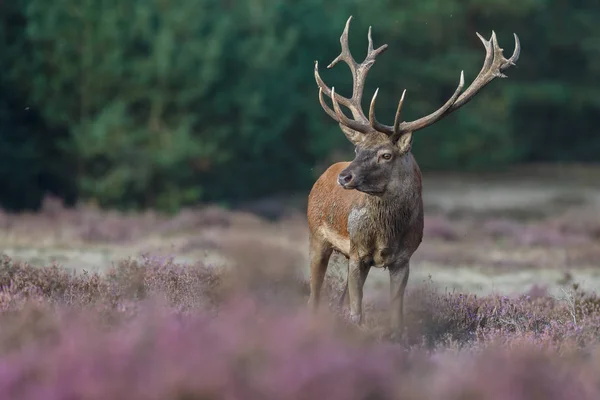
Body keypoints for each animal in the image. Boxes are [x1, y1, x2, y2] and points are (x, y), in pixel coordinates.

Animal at [308, 16, 516, 340]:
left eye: (386, 155)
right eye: (357, 148)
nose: (345, 176)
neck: (386, 234)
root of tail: (323, 175)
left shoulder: (403, 259)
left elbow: (397, 316)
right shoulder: (358, 252)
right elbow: (356, 314)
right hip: (316, 235)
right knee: (313, 296)